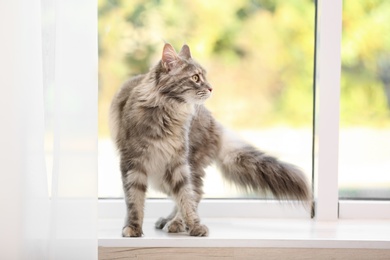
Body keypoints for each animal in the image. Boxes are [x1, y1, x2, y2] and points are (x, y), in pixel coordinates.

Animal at [108, 43, 310, 238]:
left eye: (203, 76)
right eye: (196, 78)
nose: (211, 88)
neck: (168, 112)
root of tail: (214, 122)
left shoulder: (178, 164)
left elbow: (185, 197)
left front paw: (194, 225)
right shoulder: (132, 163)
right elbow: (134, 201)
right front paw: (133, 227)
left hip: (186, 166)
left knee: (195, 193)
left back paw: (176, 223)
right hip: (161, 175)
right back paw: (170, 221)